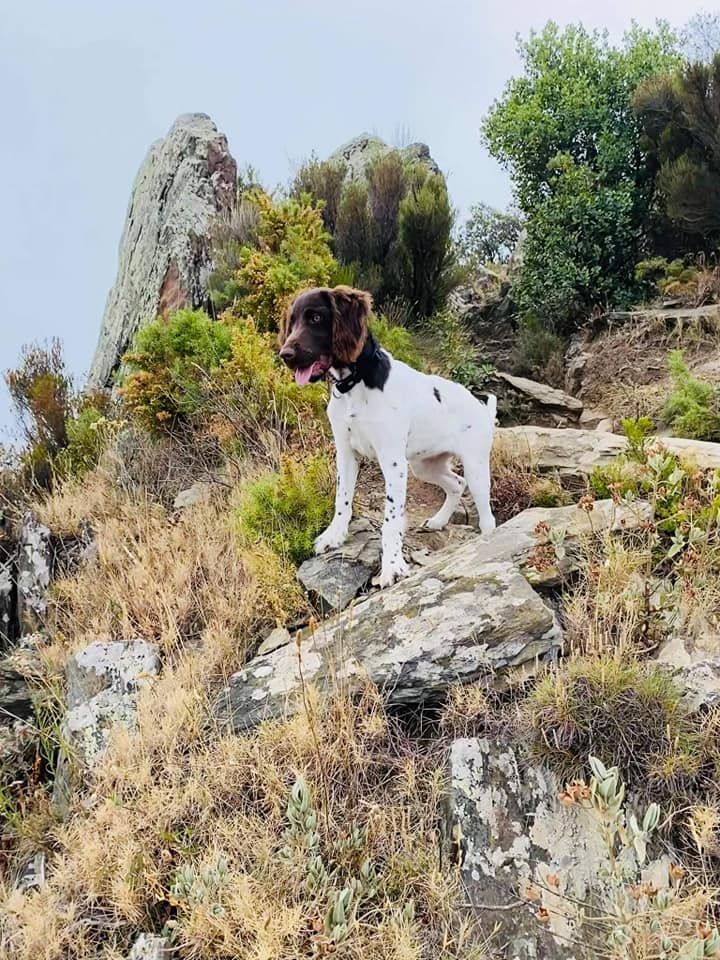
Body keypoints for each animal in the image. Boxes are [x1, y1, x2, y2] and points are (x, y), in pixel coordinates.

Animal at [278, 282, 498, 588]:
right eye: (293, 320)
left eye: (316, 318)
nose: (285, 355)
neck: (354, 384)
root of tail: (482, 408)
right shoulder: (346, 454)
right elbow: (341, 500)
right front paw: (334, 536)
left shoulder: (393, 462)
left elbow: (391, 521)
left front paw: (392, 567)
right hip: (424, 465)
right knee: (456, 483)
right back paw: (438, 521)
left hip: (476, 467)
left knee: (487, 516)